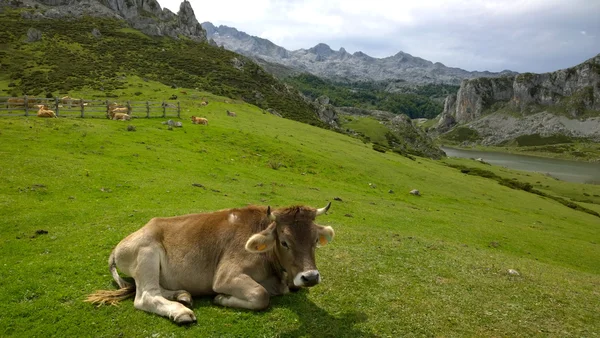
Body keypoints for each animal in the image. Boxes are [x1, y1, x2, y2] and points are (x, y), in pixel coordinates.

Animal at [86, 202, 336, 324]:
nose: (310, 277)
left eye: (315, 240)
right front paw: (221, 298)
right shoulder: (226, 275)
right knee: (145, 295)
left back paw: (182, 295)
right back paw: (180, 311)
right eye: (284, 242)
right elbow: (261, 295)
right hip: (147, 253)